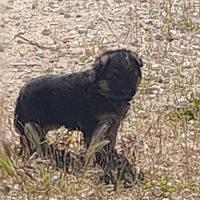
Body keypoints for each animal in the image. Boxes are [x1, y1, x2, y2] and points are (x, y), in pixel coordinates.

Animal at [14, 48, 142, 156]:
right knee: (28, 139)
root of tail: (21, 94)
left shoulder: (113, 122)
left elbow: (112, 138)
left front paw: (110, 154)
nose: (127, 91)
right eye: (114, 77)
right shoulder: (91, 125)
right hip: (33, 123)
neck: (102, 91)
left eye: (132, 75)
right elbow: (92, 144)